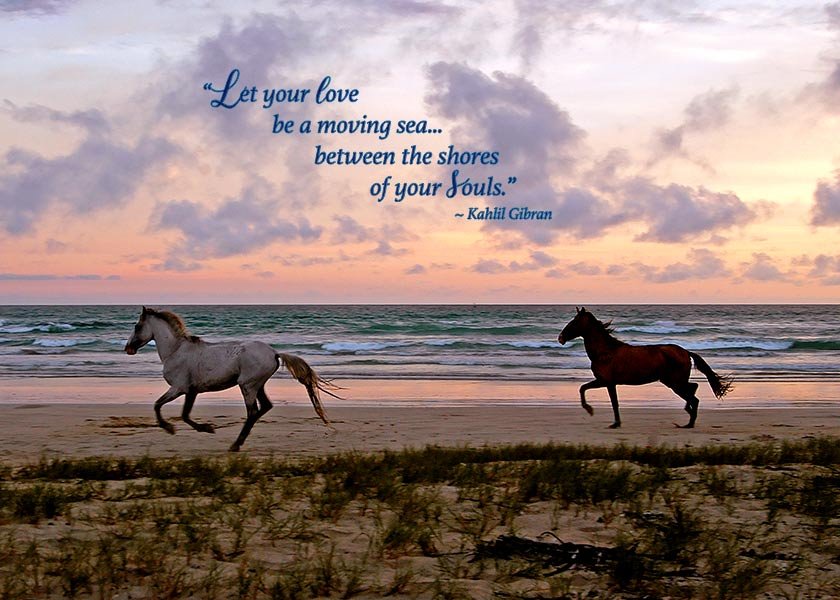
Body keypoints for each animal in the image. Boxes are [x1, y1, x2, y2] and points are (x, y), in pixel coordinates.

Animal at [124, 307, 339, 451]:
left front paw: (173, 428)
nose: (128, 348)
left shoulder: (179, 388)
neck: (176, 350)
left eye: (137, 326)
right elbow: (184, 414)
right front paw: (205, 428)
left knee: (253, 412)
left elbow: (159, 406)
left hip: (247, 386)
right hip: (256, 385)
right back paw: (238, 442)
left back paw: (235, 445)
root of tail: (274, 353)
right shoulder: (191, 391)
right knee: (265, 407)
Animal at [557, 307, 732, 429]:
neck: (605, 352)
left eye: (574, 322)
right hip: (673, 382)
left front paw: (593, 411)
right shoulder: (607, 382)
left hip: (674, 383)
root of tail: (685, 352)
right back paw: (688, 415)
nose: (560, 338)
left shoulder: (606, 382)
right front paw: (613, 421)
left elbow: (604, 398)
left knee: (693, 398)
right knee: (693, 389)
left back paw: (688, 423)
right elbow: (588, 390)